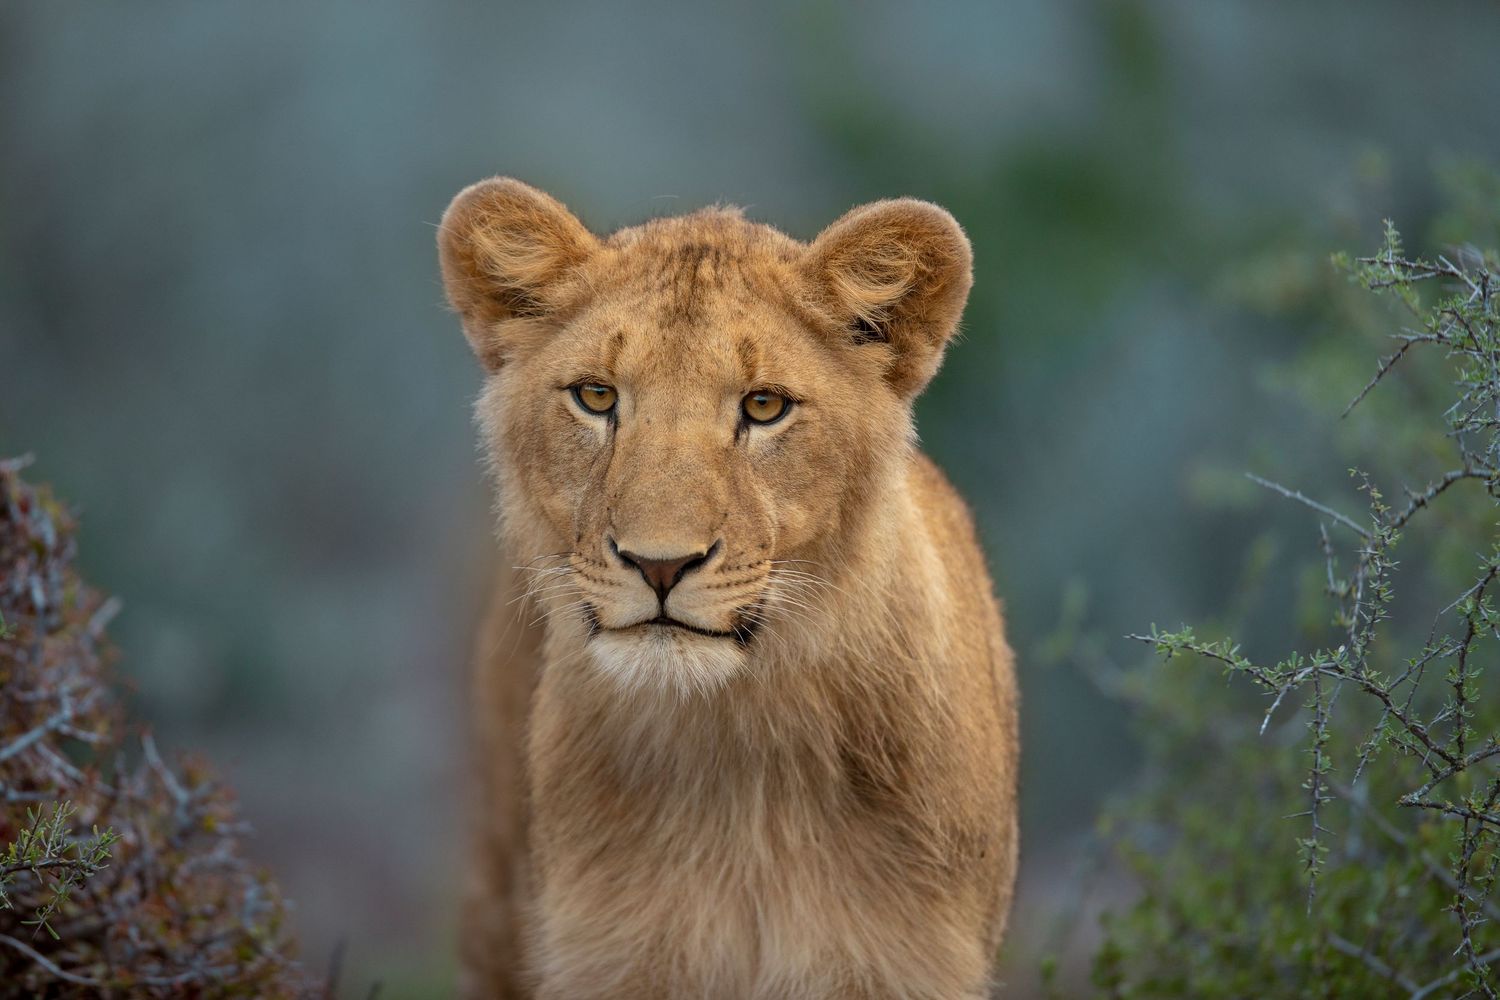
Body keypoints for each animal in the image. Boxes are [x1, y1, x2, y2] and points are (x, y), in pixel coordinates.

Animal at [438, 178, 1019, 1000]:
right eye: (596, 396)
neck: (736, 756)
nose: (658, 564)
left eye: (764, 406)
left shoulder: (900, 964)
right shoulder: (610, 956)